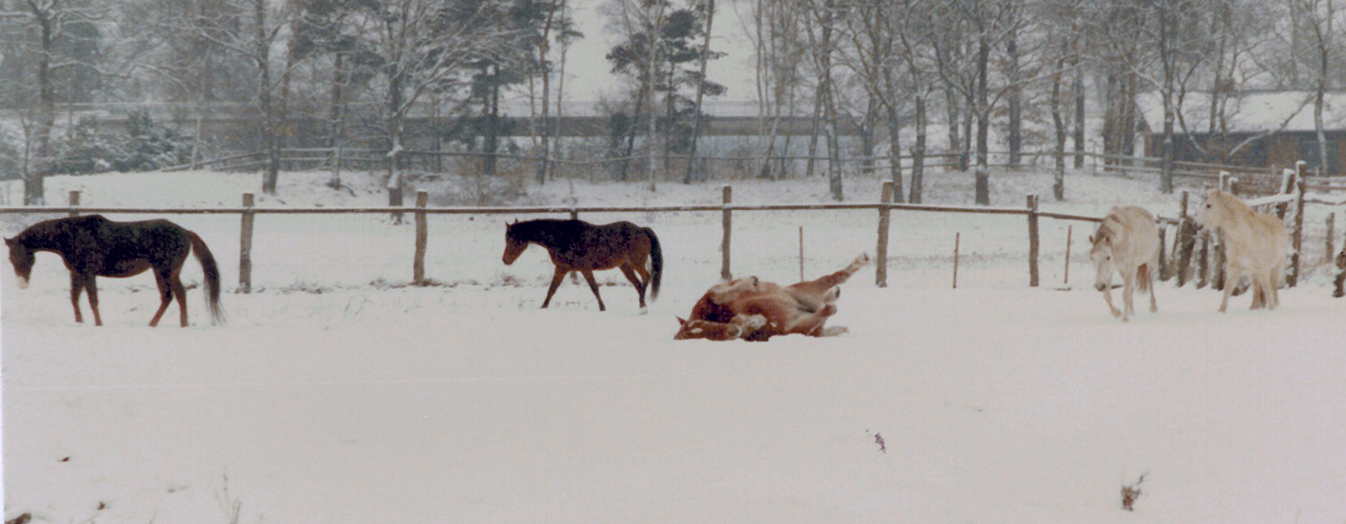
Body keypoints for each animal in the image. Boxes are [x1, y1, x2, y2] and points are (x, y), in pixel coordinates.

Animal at [5, 214, 223, 324]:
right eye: (10, 259)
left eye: (24, 257)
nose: (22, 284)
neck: (71, 235)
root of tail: (186, 232)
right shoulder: (76, 273)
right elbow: (75, 298)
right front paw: (79, 322)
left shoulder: (88, 273)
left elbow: (92, 300)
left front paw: (98, 324)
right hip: (166, 272)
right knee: (174, 296)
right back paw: (166, 324)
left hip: (165, 271)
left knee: (174, 295)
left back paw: (166, 324)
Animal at [503, 216, 664, 309]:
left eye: (512, 239)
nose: (505, 260)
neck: (561, 237)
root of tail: (642, 230)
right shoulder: (561, 268)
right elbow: (552, 289)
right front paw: (543, 307)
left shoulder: (584, 268)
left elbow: (594, 288)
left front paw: (602, 308)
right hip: (624, 266)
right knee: (637, 283)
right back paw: (642, 304)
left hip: (637, 262)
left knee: (646, 277)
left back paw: (643, 303)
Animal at [673, 251, 872, 340]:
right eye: (709, 338)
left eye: (699, 327)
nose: (733, 331)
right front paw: (754, 321)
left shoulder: (709, 297)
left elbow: (717, 294)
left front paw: (750, 282)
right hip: (801, 324)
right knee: (828, 309)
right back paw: (832, 302)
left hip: (799, 290)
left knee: (836, 278)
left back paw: (860, 262)